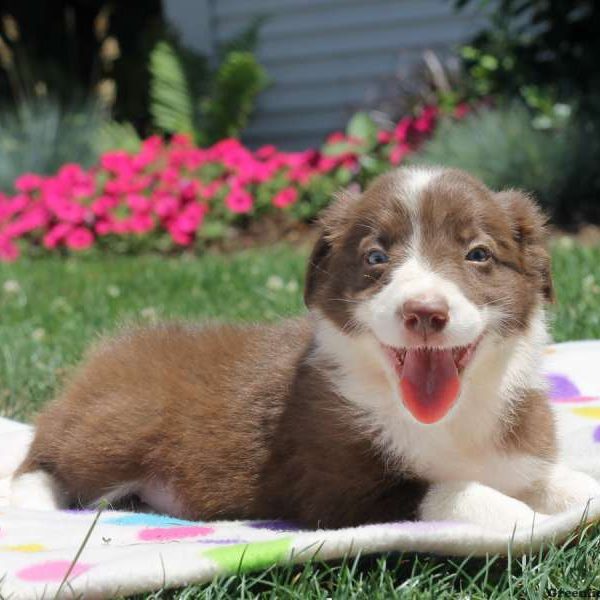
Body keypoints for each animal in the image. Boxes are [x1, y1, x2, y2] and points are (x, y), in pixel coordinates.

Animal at [10, 168, 600, 528]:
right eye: (375, 257)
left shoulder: (519, 450)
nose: (424, 313)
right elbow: (456, 490)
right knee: (45, 458)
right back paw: (29, 499)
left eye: (478, 253)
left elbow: (563, 481)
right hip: (115, 425)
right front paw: (532, 522)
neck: (448, 417)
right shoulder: (334, 483)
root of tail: (101, 355)